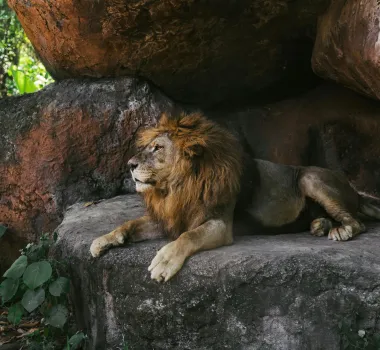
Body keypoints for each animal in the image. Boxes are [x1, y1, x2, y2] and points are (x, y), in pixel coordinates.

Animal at [90, 113, 380, 284]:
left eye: (158, 148)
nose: (130, 164)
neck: (176, 188)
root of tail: (353, 190)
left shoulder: (218, 223)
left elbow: (189, 236)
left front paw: (164, 261)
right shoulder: (169, 219)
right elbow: (129, 224)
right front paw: (103, 240)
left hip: (309, 177)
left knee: (357, 222)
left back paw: (340, 230)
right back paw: (319, 225)